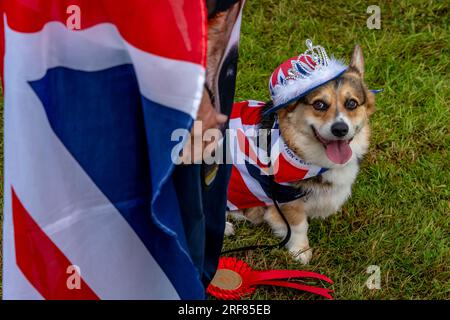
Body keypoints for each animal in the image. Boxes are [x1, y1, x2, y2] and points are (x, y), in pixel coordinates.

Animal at [227, 45, 374, 264]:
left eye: (351, 104)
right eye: (319, 104)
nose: (340, 129)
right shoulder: (285, 198)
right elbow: (298, 226)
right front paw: (300, 251)